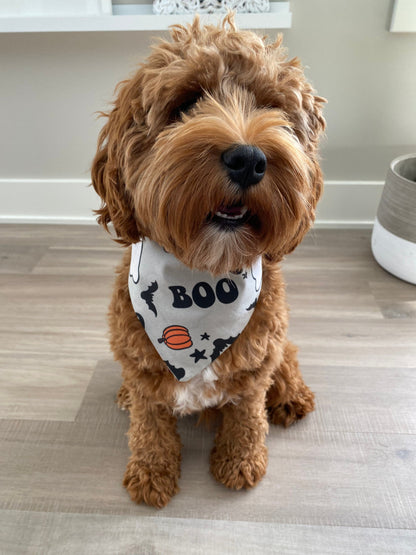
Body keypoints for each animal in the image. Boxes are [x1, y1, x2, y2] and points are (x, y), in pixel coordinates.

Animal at [90, 14, 324, 508]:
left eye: (272, 107)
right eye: (187, 102)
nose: (249, 158)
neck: (202, 276)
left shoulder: (255, 365)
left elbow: (247, 415)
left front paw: (240, 462)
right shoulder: (142, 363)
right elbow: (150, 423)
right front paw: (152, 472)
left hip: (278, 343)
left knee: (288, 356)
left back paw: (292, 395)